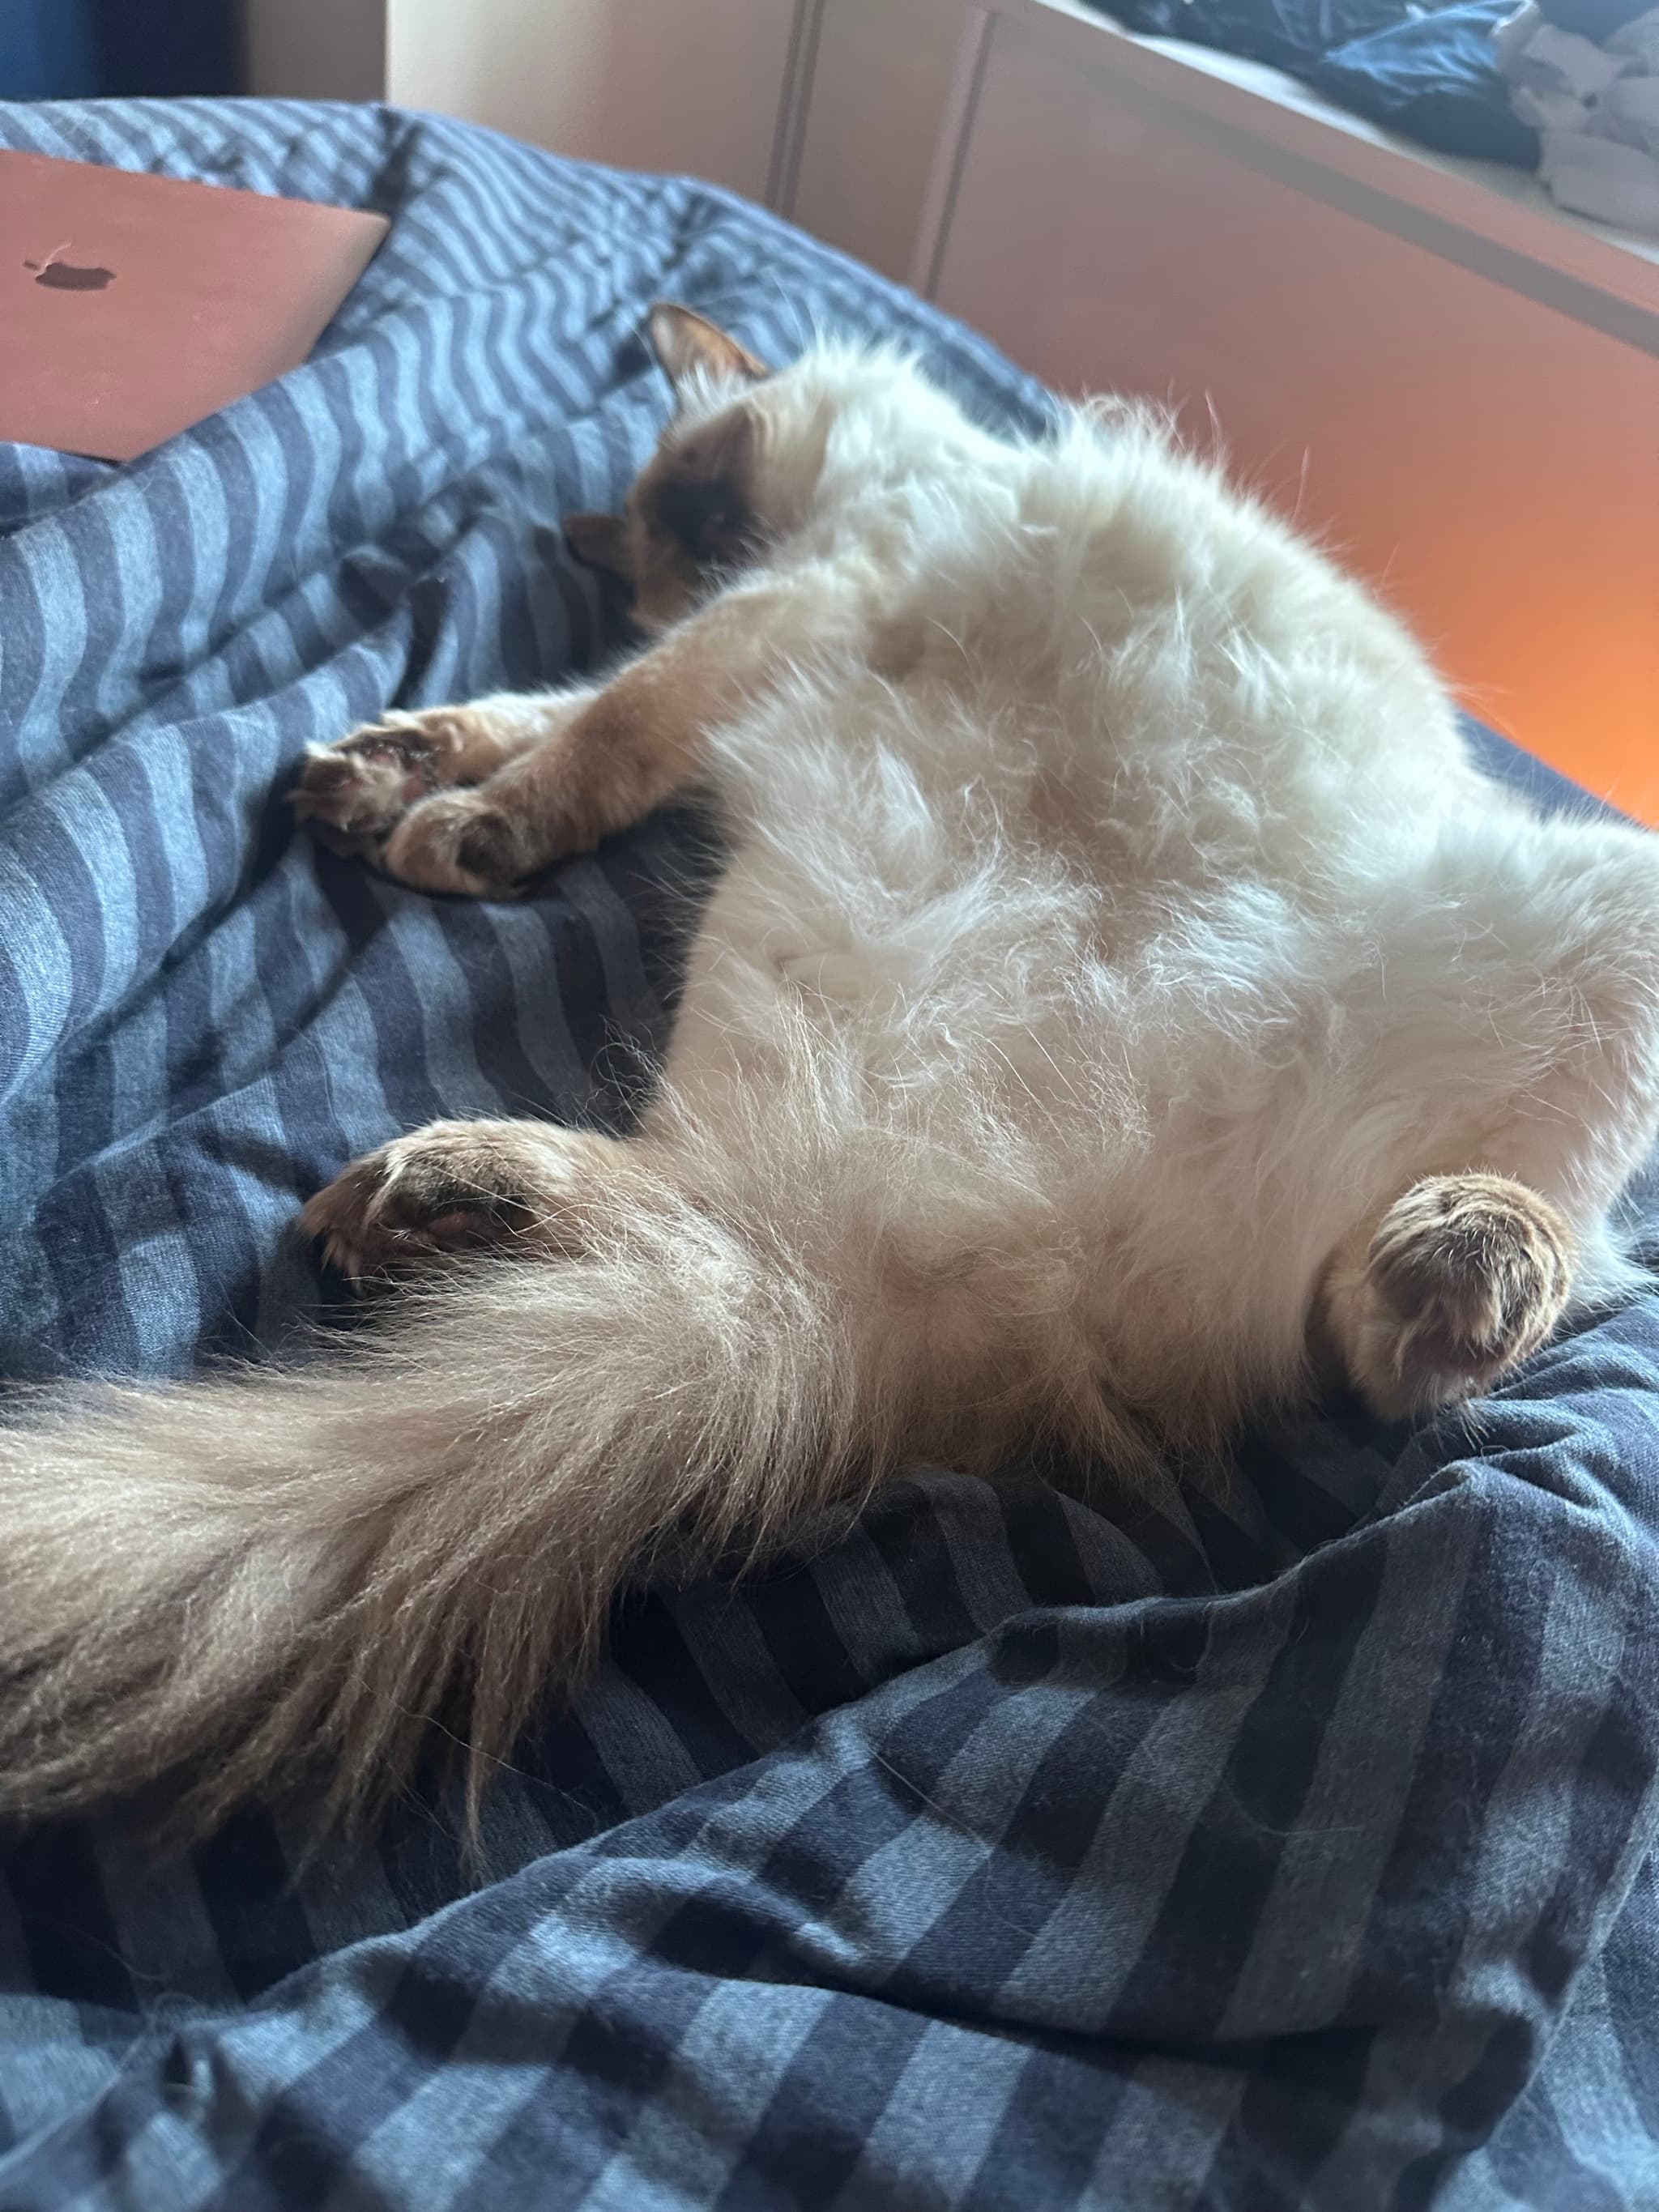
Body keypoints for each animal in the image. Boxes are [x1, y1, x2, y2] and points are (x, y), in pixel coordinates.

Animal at [3, 303, 1659, 1840]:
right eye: (663, 531)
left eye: (690, 493)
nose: (683, 548)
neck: (866, 494)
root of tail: (1018, 1257)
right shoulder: (749, 630)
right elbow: (539, 711)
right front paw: (379, 777)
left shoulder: (793, 603)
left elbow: (587, 730)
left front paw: (454, 831)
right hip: (788, 957)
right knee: (707, 1200)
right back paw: (439, 1200)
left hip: (1611, 917)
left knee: (1436, 1330)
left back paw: (1462, 1261)